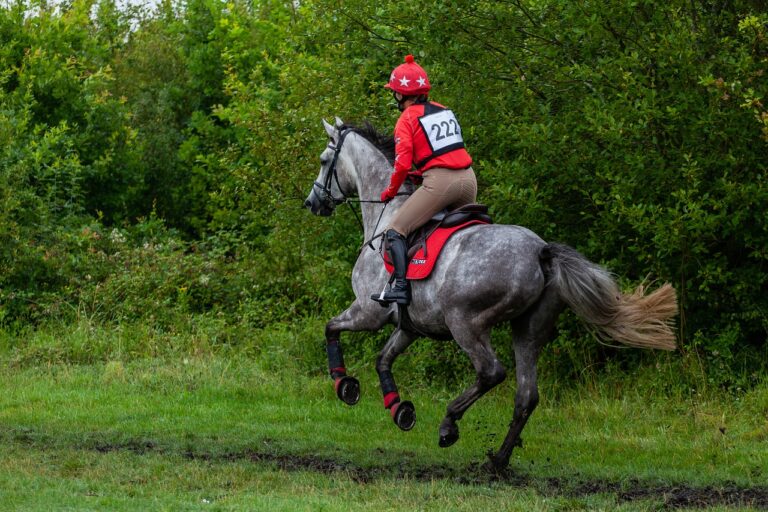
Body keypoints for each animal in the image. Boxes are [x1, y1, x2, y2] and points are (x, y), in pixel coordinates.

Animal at [304, 118, 676, 470]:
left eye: (323, 160)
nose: (312, 202)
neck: (388, 216)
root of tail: (540, 251)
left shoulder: (369, 313)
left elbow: (330, 328)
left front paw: (344, 385)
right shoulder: (410, 326)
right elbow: (383, 359)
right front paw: (399, 409)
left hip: (465, 322)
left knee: (492, 372)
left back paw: (449, 424)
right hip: (528, 328)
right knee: (526, 394)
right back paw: (498, 460)